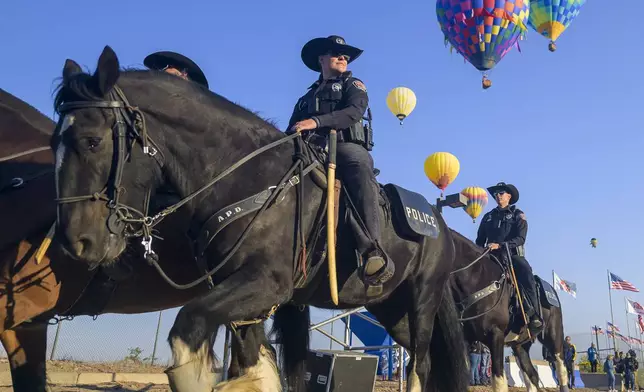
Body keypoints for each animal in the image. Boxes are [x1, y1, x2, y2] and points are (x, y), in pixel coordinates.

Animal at [46, 46, 468, 392]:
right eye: (54, 143)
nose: (76, 241)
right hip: (391, 308)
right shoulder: (239, 289)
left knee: (422, 364)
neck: (246, 176)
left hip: (422, 299)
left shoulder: (267, 283)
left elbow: (189, 330)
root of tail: (441, 227)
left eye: (92, 141)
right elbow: (255, 367)